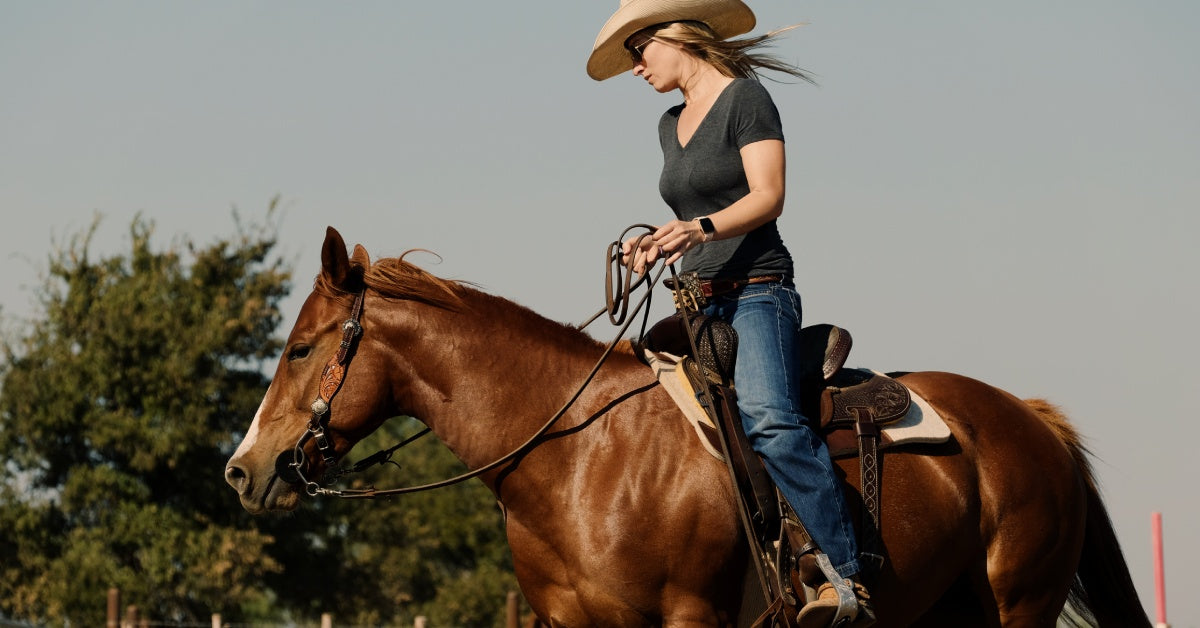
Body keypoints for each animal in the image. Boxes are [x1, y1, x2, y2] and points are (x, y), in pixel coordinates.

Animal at [226, 228, 1152, 624]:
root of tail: (1033, 423)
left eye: (302, 347)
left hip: (1018, 604)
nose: (243, 469)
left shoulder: (690, 617)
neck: (580, 458)